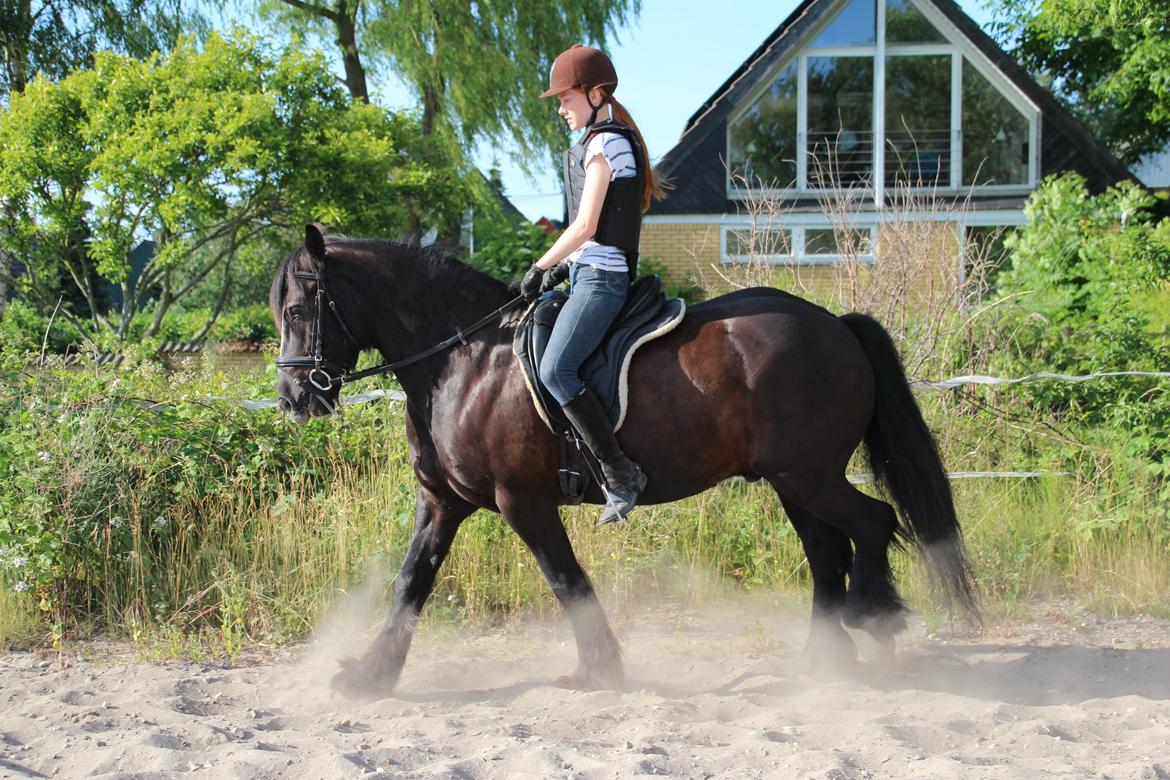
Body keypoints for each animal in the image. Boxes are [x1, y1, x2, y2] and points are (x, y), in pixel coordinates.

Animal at [269, 222, 973, 696]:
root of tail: (834, 323)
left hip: (808, 474)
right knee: (828, 549)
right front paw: (371, 675)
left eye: (301, 308)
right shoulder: (443, 502)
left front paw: (599, 668)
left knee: (873, 522)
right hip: (792, 480)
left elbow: (566, 580)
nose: (294, 398)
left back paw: (872, 616)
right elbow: (412, 580)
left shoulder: (521, 500)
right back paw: (823, 660)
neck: (462, 361)